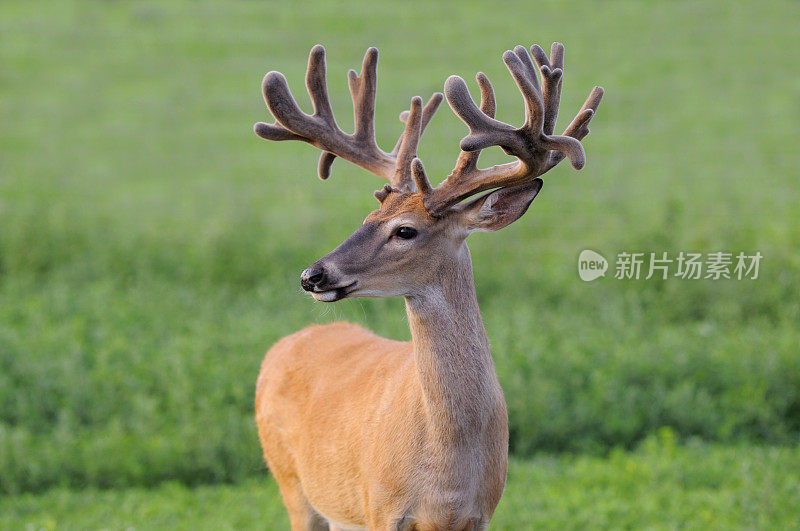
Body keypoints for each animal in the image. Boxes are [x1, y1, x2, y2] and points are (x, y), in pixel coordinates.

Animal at [253, 39, 604, 528]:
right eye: (367, 218)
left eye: (405, 230)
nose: (312, 275)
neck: (447, 472)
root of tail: (283, 347)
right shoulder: (380, 506)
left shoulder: (483, 510)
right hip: (292, 484)